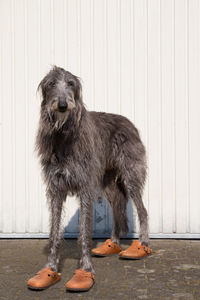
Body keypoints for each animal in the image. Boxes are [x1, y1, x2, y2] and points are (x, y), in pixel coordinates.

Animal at [36, 65, 148, 274]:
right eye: (52, 83)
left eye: (71, 83)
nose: (62, 105)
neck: (64, 136)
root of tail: (129, 122)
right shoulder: (56, 188)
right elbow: (54, 232)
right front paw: (51, 267)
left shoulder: (84, 187)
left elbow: (84, 231)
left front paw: (86, 267)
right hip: (108, 182)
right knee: (117, 208)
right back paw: (112, 243)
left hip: (131, 175)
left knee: (142, 210)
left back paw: (143, 245)